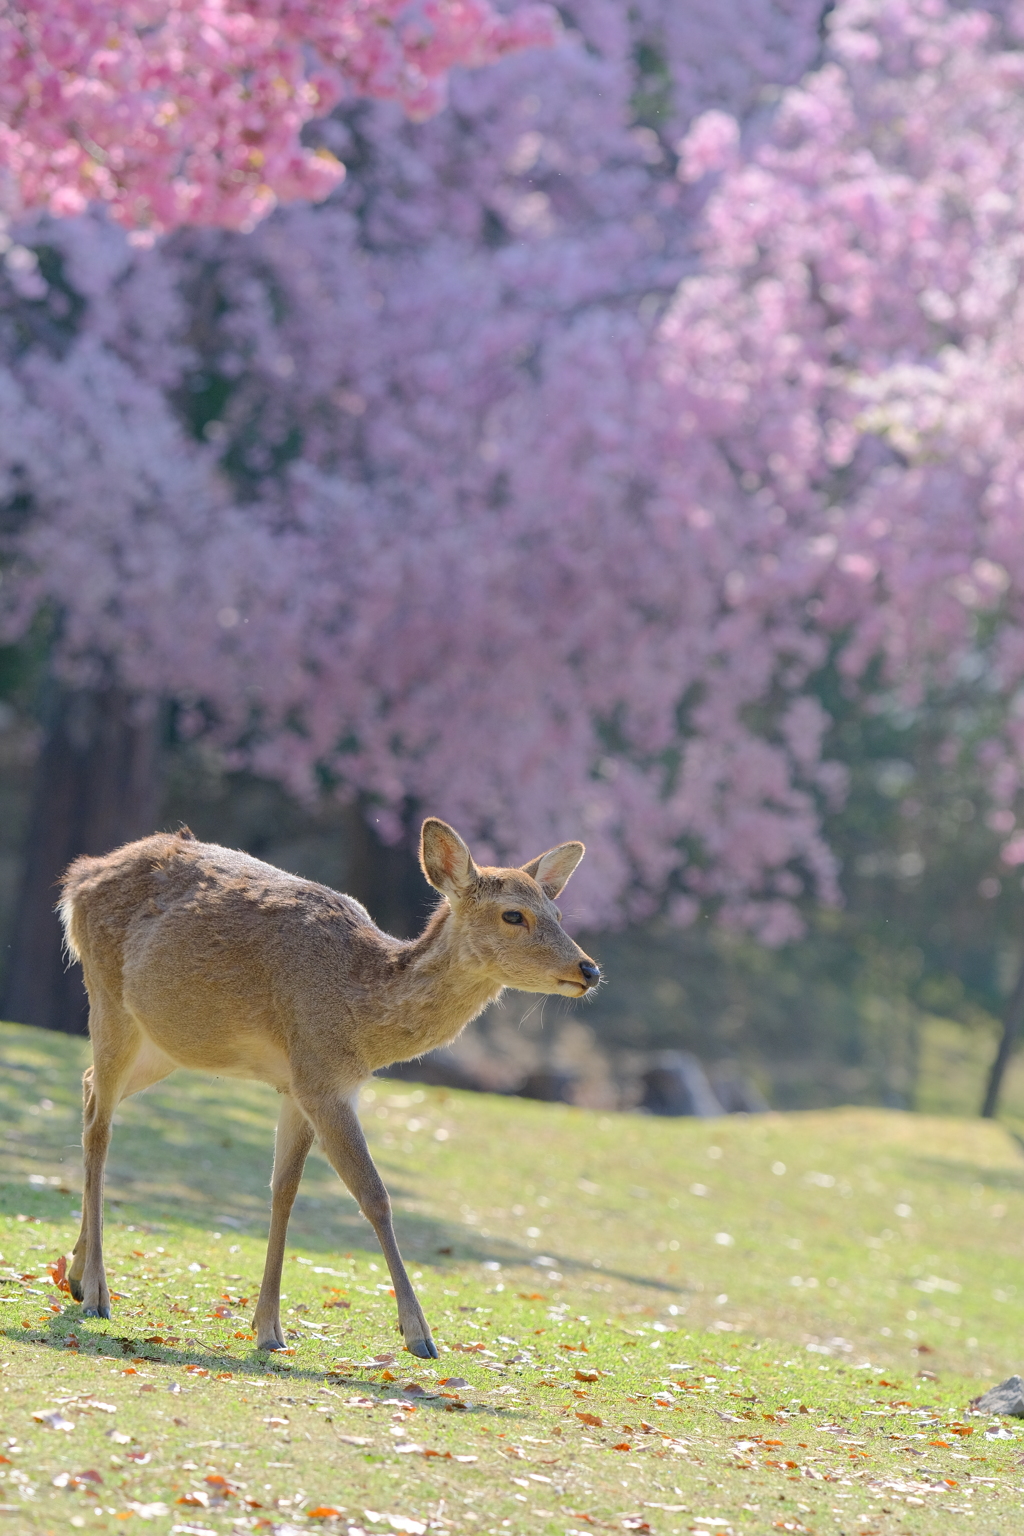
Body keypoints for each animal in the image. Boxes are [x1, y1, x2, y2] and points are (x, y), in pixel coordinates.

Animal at [57, 817, 601, 1357]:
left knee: (87, 1088)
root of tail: (76, 881)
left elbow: (284, 1190)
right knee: (101, 1127)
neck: (362, 1017)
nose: (589, 969)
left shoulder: (299, 1084)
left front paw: (268, 1328)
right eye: (513, 915)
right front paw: (419, 1334)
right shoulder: (322, 1078)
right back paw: (99, 1292)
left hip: (164, 1045)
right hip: (108, 998)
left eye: (557, 912)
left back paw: (76, 1275)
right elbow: (374, 1194)